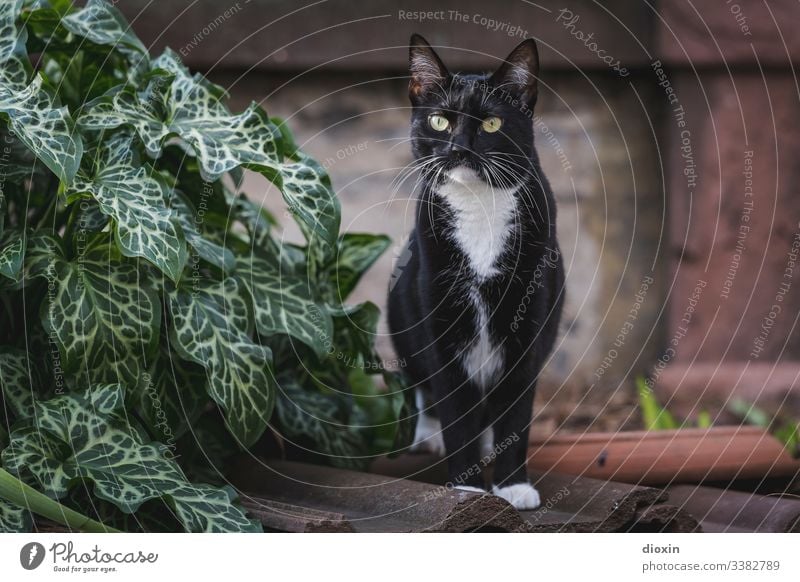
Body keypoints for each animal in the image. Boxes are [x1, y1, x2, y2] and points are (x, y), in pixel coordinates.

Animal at [386, 35, 564, 512]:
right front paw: (466, 488)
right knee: (426, 386)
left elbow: (516, 409)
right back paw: (429, 435)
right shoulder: (438, 309)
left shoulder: (529, 318)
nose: (460, 148)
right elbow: (454, 405)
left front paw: (513, 486)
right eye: (439, 120)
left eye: (490, 124)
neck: (480, 208)